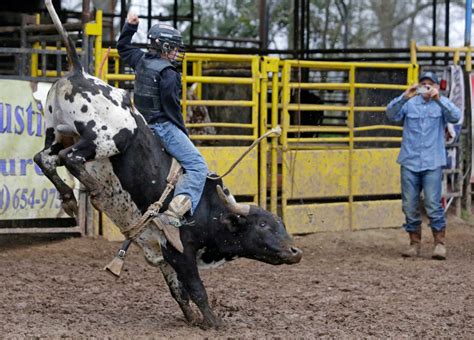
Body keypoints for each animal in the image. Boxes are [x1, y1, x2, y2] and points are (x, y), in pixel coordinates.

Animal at [35, 0, 306, 330]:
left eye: (281, 223)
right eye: (264, 224)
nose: (295, 251)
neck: (208, 207)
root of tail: (79, 71)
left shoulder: (162, 253)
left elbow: (178, 291)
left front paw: (191, 318)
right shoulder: (183, 253)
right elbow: (197, 289)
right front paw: (214, 323)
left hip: (56, 132)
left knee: (45, 158)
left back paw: (69, 199)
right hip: (110, 137)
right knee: (70, 157)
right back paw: (92, 187)